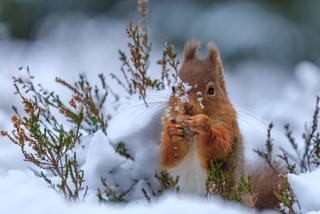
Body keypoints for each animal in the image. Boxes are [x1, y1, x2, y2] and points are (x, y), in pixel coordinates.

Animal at [160, 40, 280, 209]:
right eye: (173, 87)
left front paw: (203, 125)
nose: (186, 105)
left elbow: (219, 148)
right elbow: (168, 157)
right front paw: (172, 132)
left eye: (211, 89)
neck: (193, 135)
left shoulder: (229, 126)